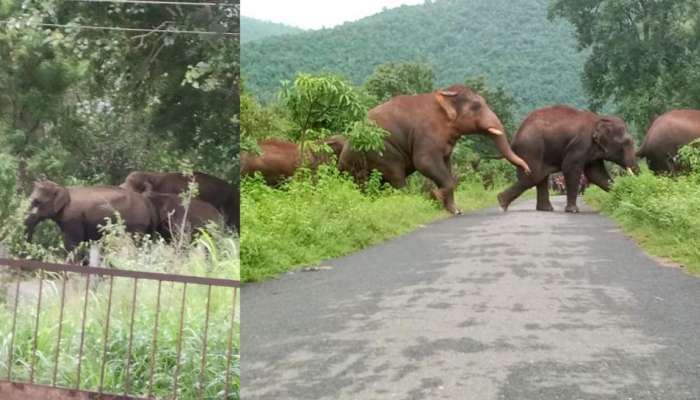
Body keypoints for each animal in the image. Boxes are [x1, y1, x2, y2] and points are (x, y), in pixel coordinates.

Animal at [25, 180, 157, 252]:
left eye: (37, 202)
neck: (63, 188)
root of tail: (146, 201)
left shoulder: (73, 218)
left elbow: (73, 243)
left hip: (137, 223)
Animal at [336, 85, 528, 216]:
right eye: (476, 106)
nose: (526, 170)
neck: (442, 96)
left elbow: (447, 167)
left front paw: (455, 210)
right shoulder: (426, 135)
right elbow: (424, 163)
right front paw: (436, 196)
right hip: (382, 152)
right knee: (396, 177)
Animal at [494, 105, 636, 212]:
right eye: (626, 143)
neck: (599, 118)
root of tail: (515, 137)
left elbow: (596, 174)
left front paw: (622, 197)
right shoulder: (580, 144)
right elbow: (570, 167)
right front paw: (573, 211)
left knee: (540, 177)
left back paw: (545, 209)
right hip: (530, 148)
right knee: (533, 176)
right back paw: (502, 203)